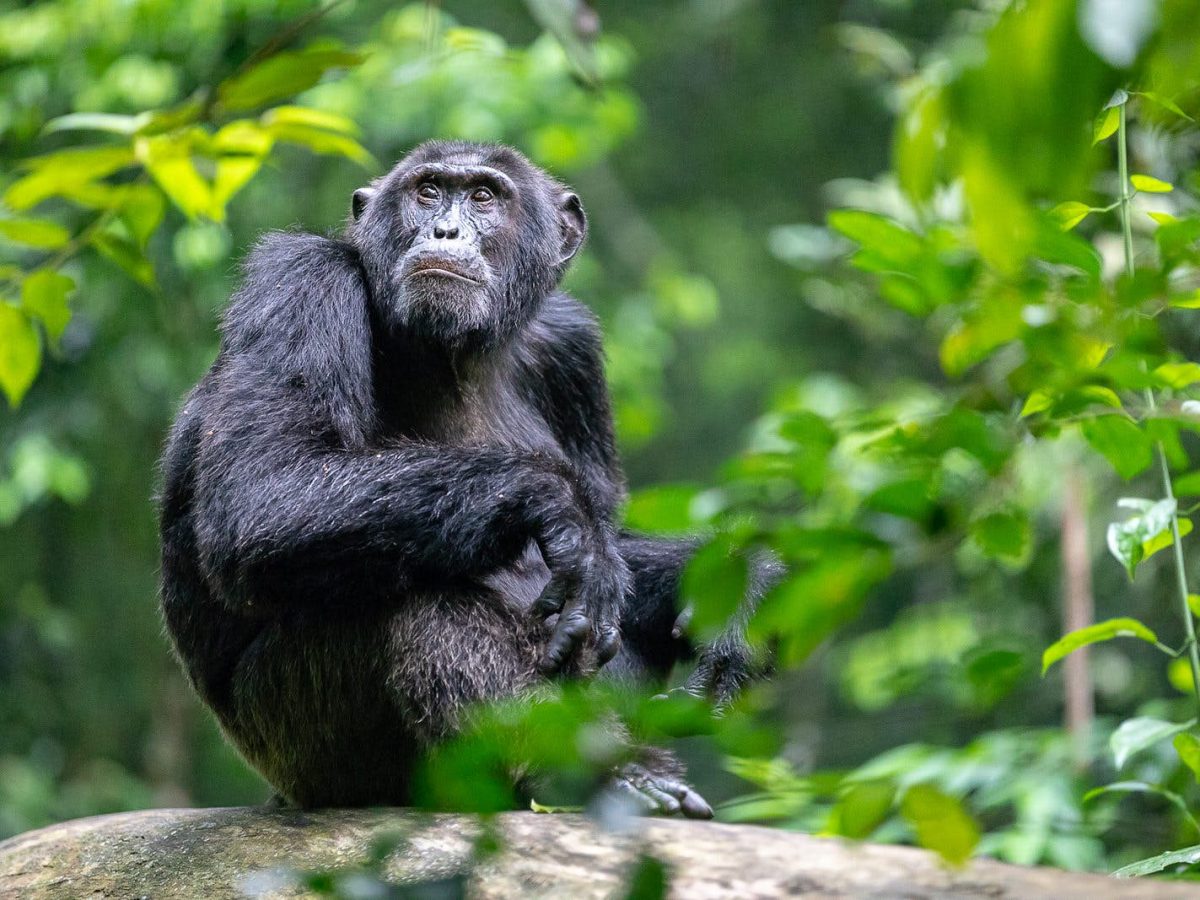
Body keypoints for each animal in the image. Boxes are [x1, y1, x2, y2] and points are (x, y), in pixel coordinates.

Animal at [157, 139, 768, 816]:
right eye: (427, 191)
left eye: (483, 196)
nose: (444, 229)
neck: (457, 355)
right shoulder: (298, 283)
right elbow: (262, 490)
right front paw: (559, 509)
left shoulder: (572, 349)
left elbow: (615, 539)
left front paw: (744, 586)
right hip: (307, 747)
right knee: (420, 602)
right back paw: (610, 776)